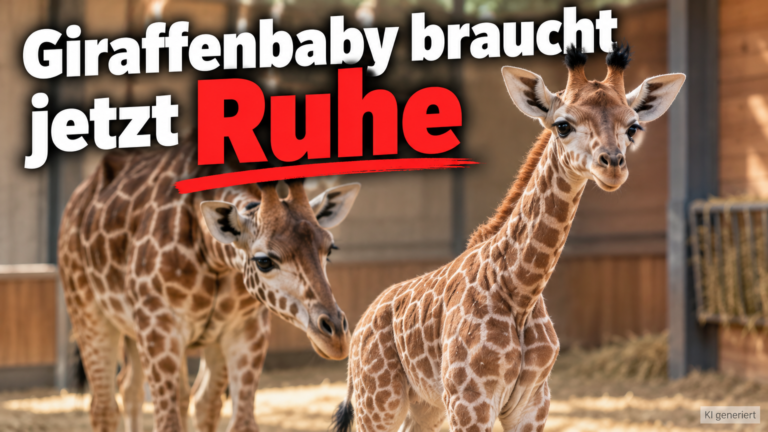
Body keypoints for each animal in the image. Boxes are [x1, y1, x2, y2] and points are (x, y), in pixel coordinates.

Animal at [57, 142, 361, 432]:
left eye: (329, 249)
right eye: (263, 261)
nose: (336, 338)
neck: (211, 252)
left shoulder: (246, 328)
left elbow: (237, 421)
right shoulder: (159, 325)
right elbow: (167, 423)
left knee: (148, 391)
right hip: (89, 314)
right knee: (104, 406)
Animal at [331, 44, 685, 432]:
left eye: (633, 127)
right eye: (563, 125)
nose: (613, 166)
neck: (520, 291)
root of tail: (362, 323)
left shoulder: (532, 403)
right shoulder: (470, 402)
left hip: (425, 404)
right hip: (379, 400)